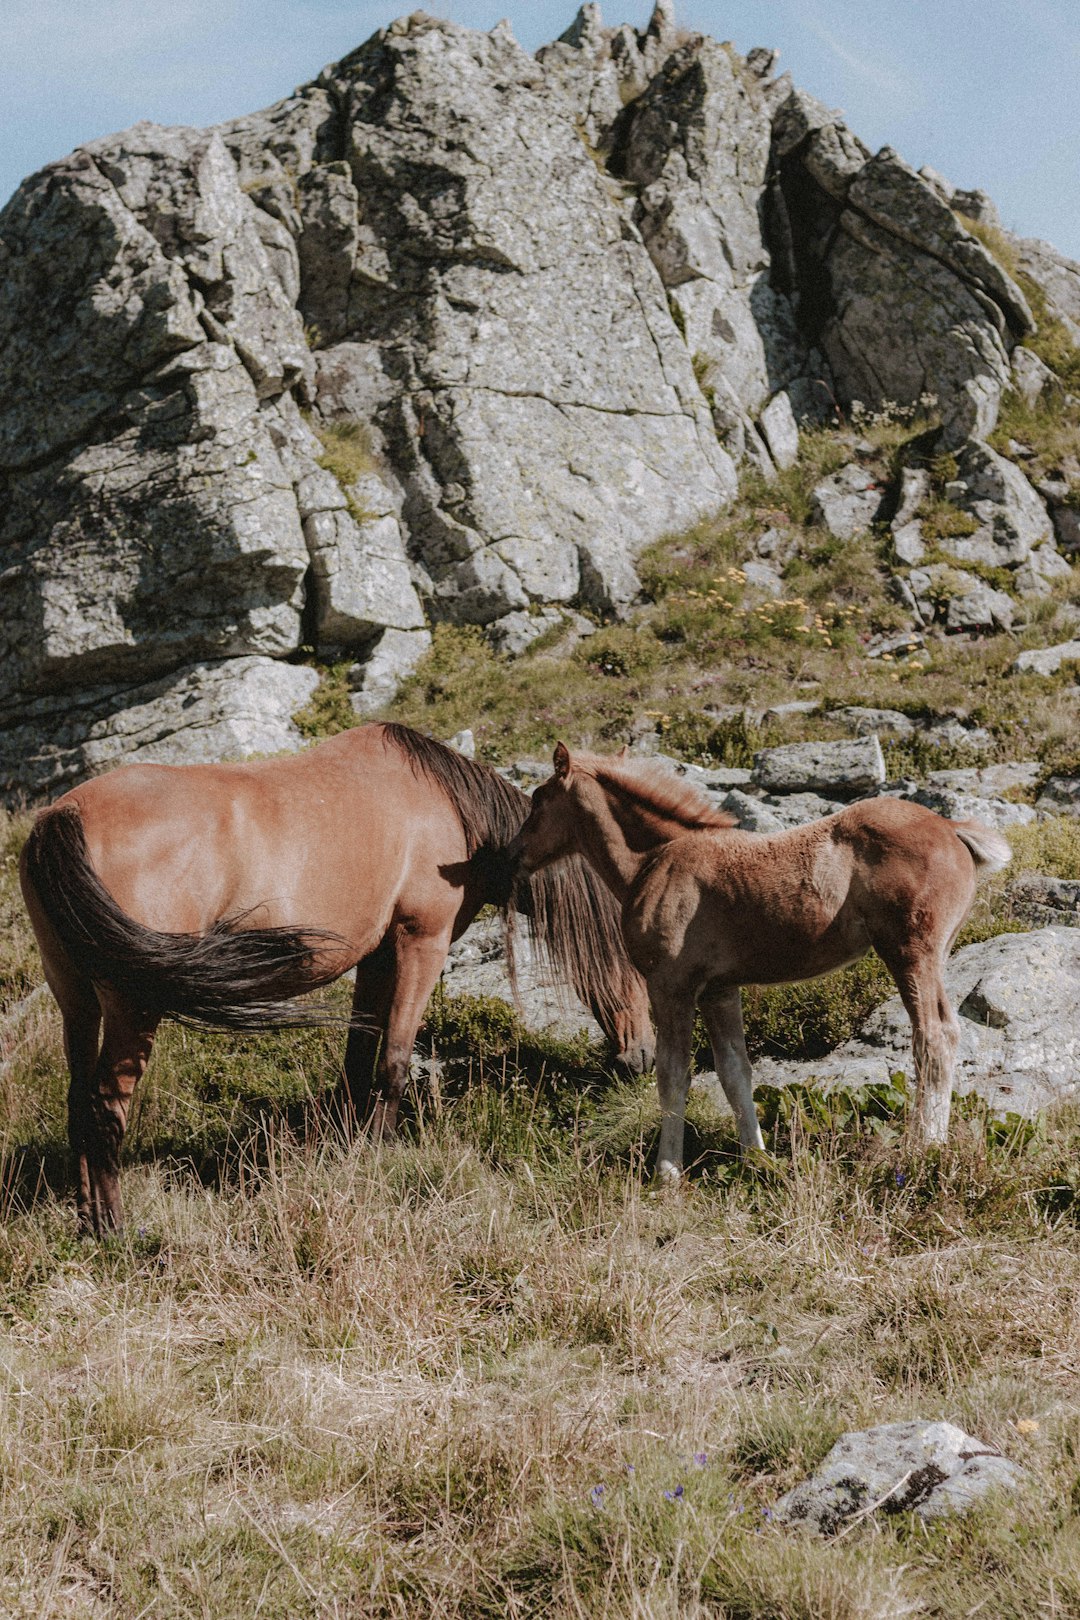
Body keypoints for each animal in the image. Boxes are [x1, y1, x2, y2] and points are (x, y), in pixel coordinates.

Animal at [21, 722, 654, 1224]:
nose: (643, 1058)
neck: (450, 813)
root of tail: (61, 817)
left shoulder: (375, 958)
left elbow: (357, 1062)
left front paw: (350, 1152)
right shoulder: (421, 942)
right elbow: (395, 1060)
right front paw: (381, 1152)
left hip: (76, 999)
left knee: (79, 1100)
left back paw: (86, 1217)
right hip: (133, 1007)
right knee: (106, 1105)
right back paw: (115, 1230)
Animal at [514, 745, 1016, 1179]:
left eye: (538, 800)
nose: (512, 857)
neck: (655, 861)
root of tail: (951, 828)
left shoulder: (670, 985)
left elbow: (673, 1076)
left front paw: (666, 1175)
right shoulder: (719, 989)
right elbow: (735, 1072)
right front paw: (757, 1162)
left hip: (910, 952)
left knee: (934, 1036)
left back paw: (924, 1146)